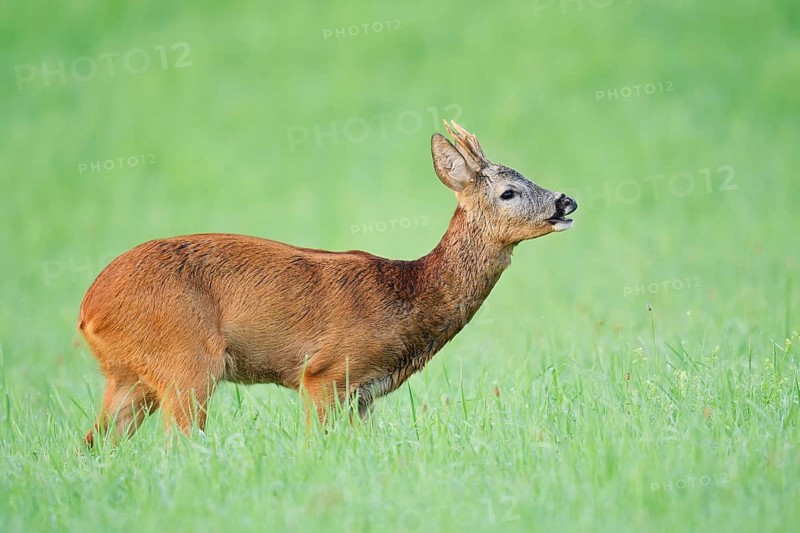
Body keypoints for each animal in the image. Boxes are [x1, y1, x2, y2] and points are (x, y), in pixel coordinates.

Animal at [78, 121, 578, 446]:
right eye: (508, 192)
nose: (566, 201)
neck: (409, 296)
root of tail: (88, 309)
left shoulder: (364, 395)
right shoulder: (325, 372)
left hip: (130, 376)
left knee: (94, 444)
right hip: (188, 358)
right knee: (177, 446)